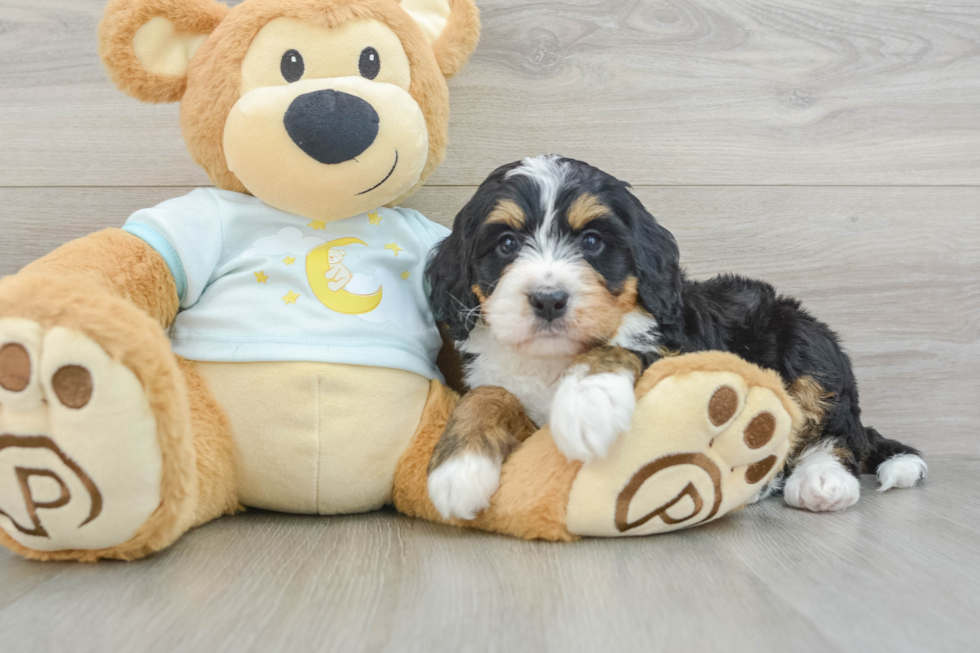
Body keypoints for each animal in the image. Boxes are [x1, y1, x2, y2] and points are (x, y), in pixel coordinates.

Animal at [424, 157, 928, 520]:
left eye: (592, 241)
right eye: (507, 244)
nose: (549, 300)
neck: (554, 358)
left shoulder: (677, 357)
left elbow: (618, 347)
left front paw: (586, 406)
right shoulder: (497, 377)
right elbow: (485, 396)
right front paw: (458, 470)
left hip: (806, 342)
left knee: (837, 430)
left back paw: (821, 482)